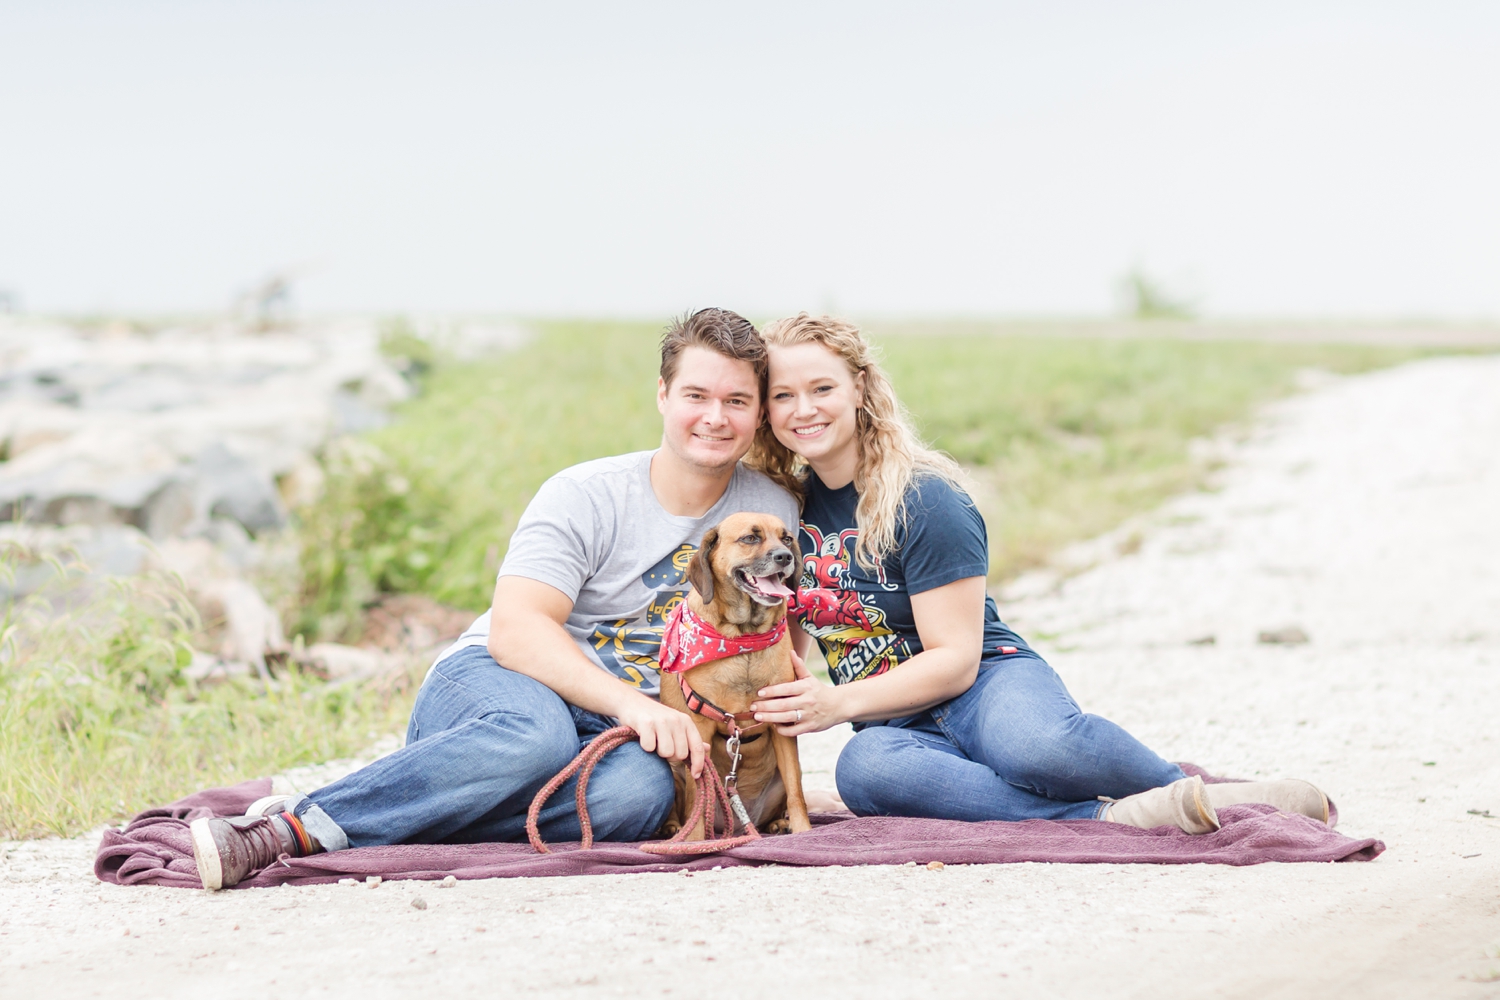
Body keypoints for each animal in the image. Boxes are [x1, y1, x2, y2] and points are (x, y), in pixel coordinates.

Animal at [660, 512, 816, 839]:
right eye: (750, 538)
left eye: (786, 539)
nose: (784, 557)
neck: (745, 639)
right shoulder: (699, 729)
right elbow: (698, 792)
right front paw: (694, 840)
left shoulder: (782, 721)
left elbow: (796, 790)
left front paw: (803, 831)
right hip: (673, 765)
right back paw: (674, 829)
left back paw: (777, 824)